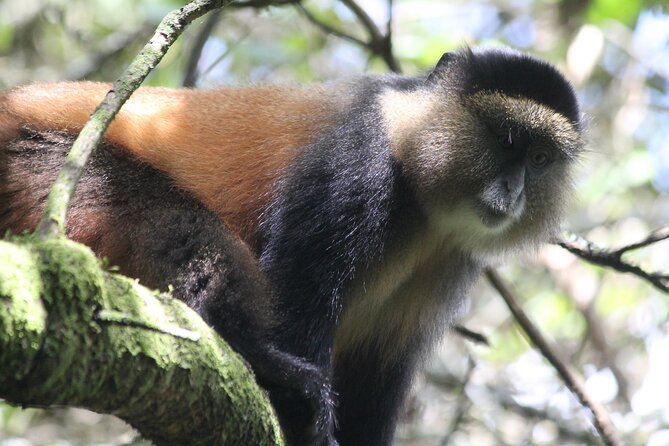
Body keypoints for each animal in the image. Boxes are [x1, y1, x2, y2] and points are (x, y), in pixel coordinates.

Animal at [0, 47, 583, 445]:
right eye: (506, 140)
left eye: (539, 159)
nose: (513, 192)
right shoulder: (355, 166)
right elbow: (298, 298)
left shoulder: (450, 260)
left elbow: (376, 373)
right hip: (45, 168)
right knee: (196, 242)